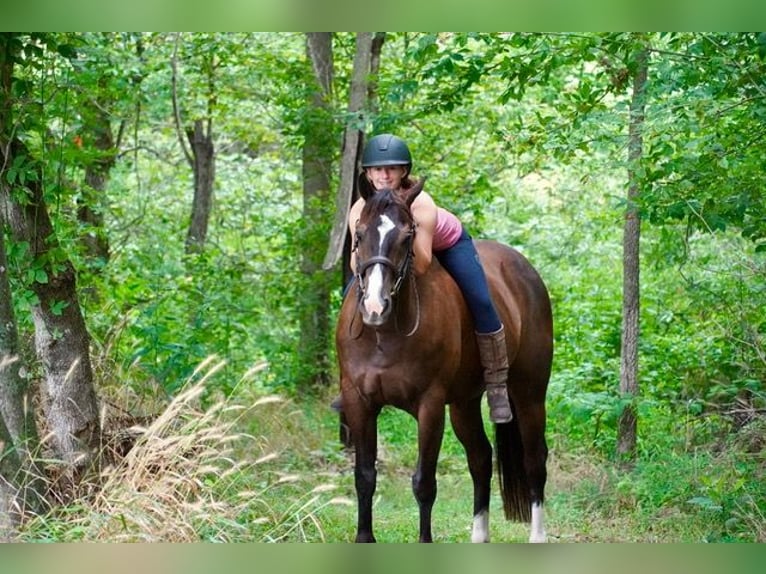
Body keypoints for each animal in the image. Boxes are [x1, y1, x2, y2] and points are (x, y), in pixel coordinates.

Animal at [335, 178, 553, 543]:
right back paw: (479, 536)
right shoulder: (358, 401)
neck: (384, 334)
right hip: (464, 403)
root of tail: (526, 270)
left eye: (407, 235)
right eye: (359, 233)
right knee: (481, 458)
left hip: (529, 394)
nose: (375, 307)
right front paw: (364, 538)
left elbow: (424, 483)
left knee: (535, 459)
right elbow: (364, 476)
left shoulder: (430, 405)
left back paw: (538, 537)